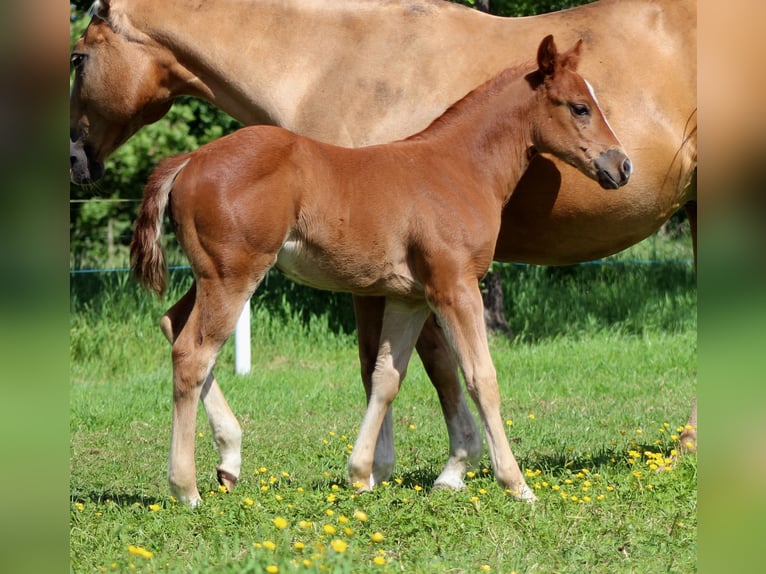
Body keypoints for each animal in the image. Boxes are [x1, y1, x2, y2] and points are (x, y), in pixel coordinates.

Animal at [70, 0, 697, 491]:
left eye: (78, 57)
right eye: (581, 106)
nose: (621, 166)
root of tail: (190, 159)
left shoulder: (408, 293)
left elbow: (389, 373)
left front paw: (372, 471)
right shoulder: (450, 285)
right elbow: (472, 375)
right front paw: (504, 480)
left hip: (219, 275)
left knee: (177, 329)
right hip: (231, 275)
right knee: (191, 351)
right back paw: (190, 485)